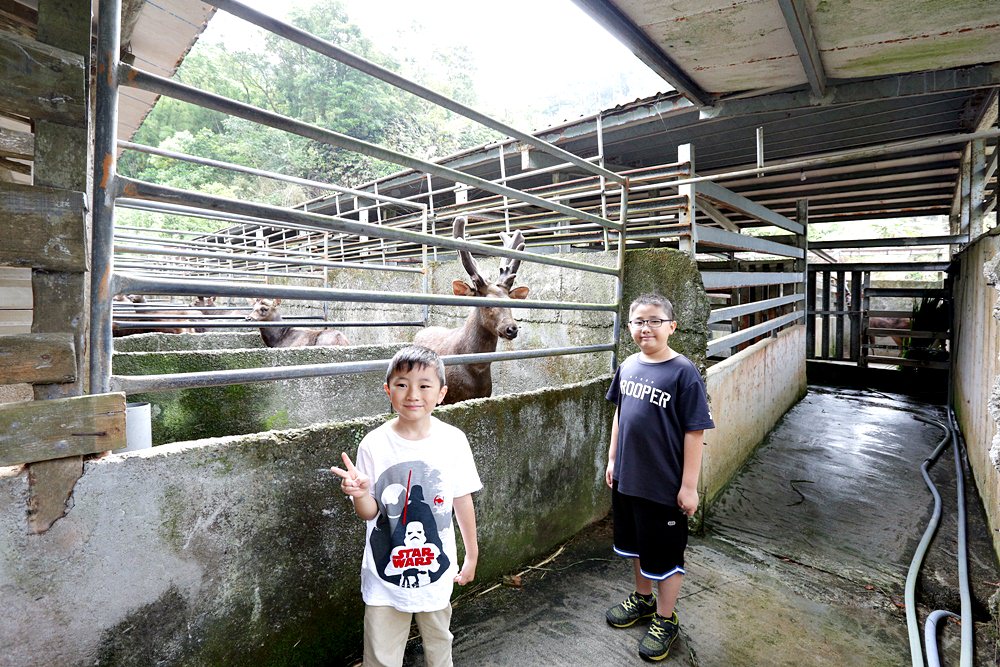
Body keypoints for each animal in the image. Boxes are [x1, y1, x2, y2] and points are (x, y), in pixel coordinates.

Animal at [412, 217, 532, 404]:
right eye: (486, 304)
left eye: (511, 302)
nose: (511, 328)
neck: (476, 369)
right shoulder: (447, 397)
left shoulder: (485, 394)